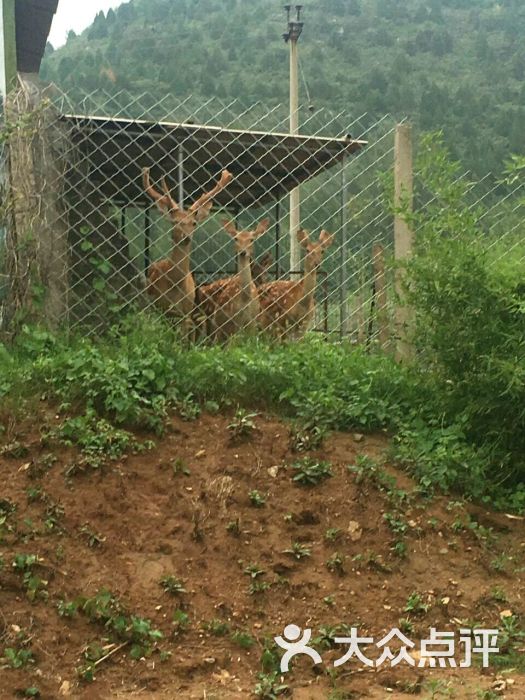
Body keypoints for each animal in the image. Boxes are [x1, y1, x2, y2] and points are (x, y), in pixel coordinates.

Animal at [143, 165, 233, 338]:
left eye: (193, 223)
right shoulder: (161, 307)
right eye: (175, 222)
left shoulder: (185, 312)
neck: (175, 284)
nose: (186, 237)